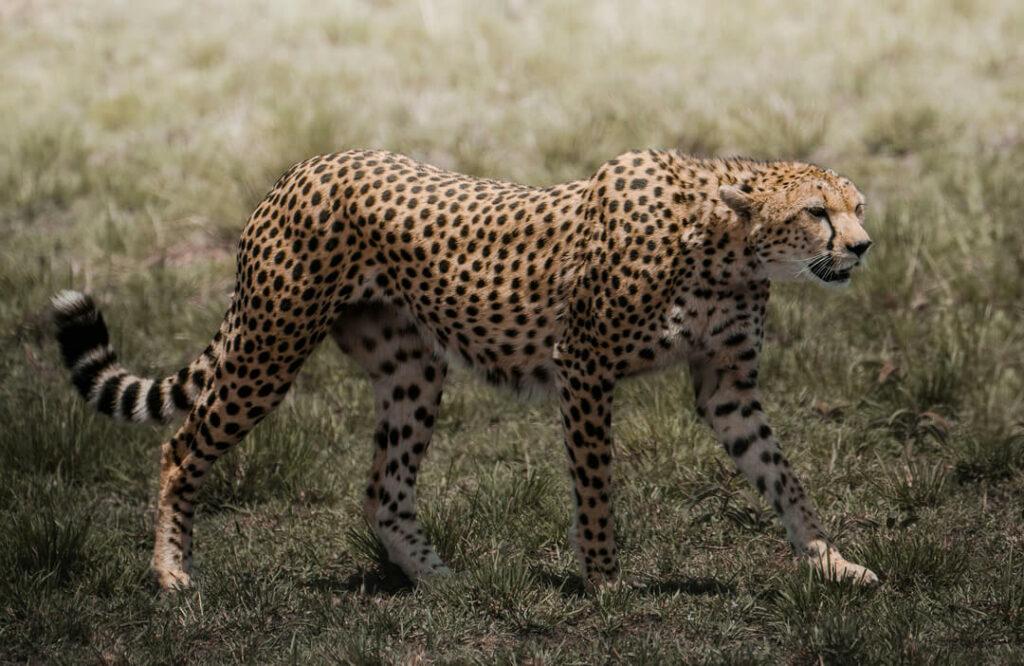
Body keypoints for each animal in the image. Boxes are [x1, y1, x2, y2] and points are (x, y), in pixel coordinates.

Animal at [52, 148, 879, 591]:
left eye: (859, 206)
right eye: (817, 212)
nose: (864, 247)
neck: (721, 242)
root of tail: (305, 165)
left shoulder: (726, 386)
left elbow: (783, 476)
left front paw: (831, 562)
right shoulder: (583, 367)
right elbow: (596, 486)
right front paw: (605, 581)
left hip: (411, 369)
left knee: (382, 491)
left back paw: (441, 583)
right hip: (270, 344)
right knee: (179, 447)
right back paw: (171, 572)